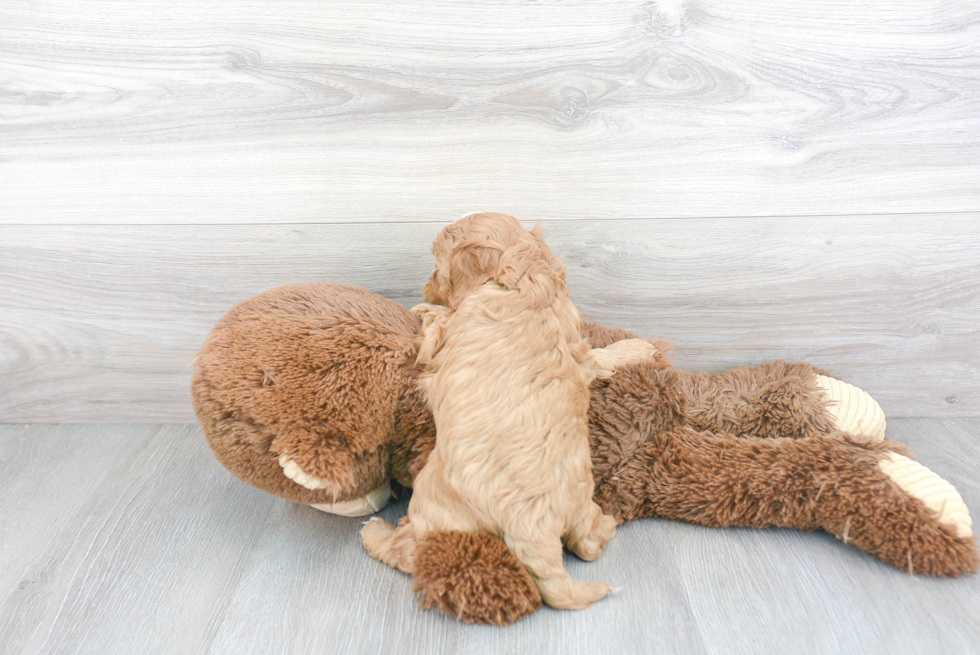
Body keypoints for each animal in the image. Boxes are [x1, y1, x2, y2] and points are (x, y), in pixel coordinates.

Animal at [362, 214, 660, 608]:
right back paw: (608, 524)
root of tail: (532, 530)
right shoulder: (577, 345)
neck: (526, 277)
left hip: (433, 501)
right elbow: (599, 357)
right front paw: (638, 348)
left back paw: (375, 533)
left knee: (409, 551)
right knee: (588, 545)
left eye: (438, 266)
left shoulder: (446, 335)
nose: (425, 286)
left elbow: (436, 324)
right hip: (582, 509)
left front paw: (422, 308)